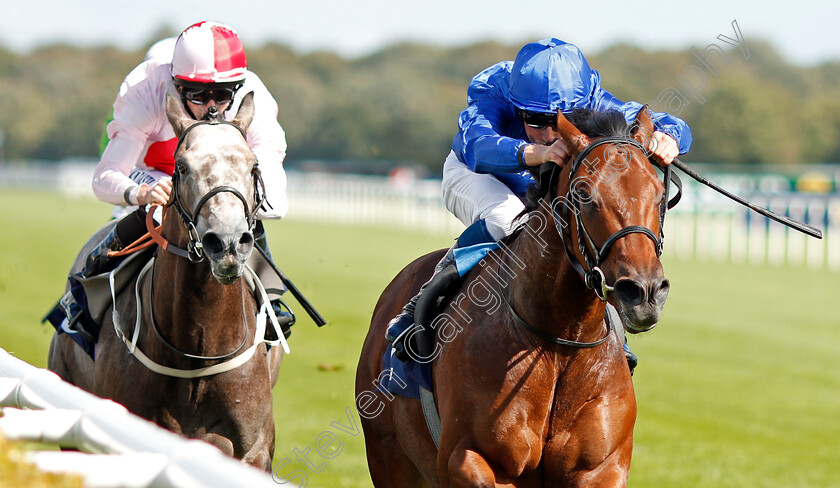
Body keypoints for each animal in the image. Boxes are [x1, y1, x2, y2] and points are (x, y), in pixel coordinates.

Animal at [358, 106, 672, 484]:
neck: (559, 343)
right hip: (388, 455)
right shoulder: (469, 457)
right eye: (584, 193)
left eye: (659, 192)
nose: (644, 292)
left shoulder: (602, 467)